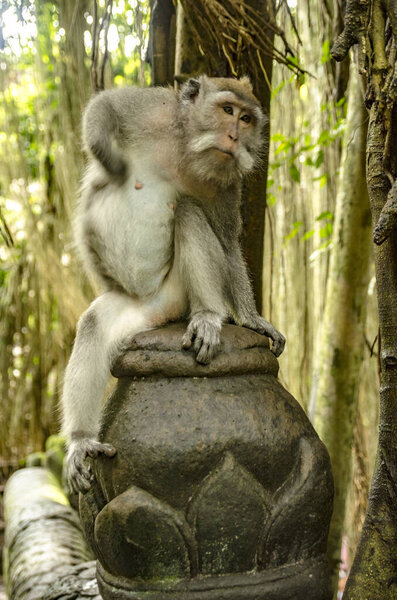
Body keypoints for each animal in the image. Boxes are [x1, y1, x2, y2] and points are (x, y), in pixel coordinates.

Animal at [61, 75, 284, 494]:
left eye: (247, 119)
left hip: (173, 297)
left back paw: (209, 316)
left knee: (189, 213)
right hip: (136, 306)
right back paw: (81, 441)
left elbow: (227, 244)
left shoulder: (227, 184)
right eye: (227, 110)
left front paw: (252, 319)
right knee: (96, 326)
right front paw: (109, 161)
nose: (234, 135)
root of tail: (150, 301)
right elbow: (105, 107)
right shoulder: (156, 112)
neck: (187, 151)